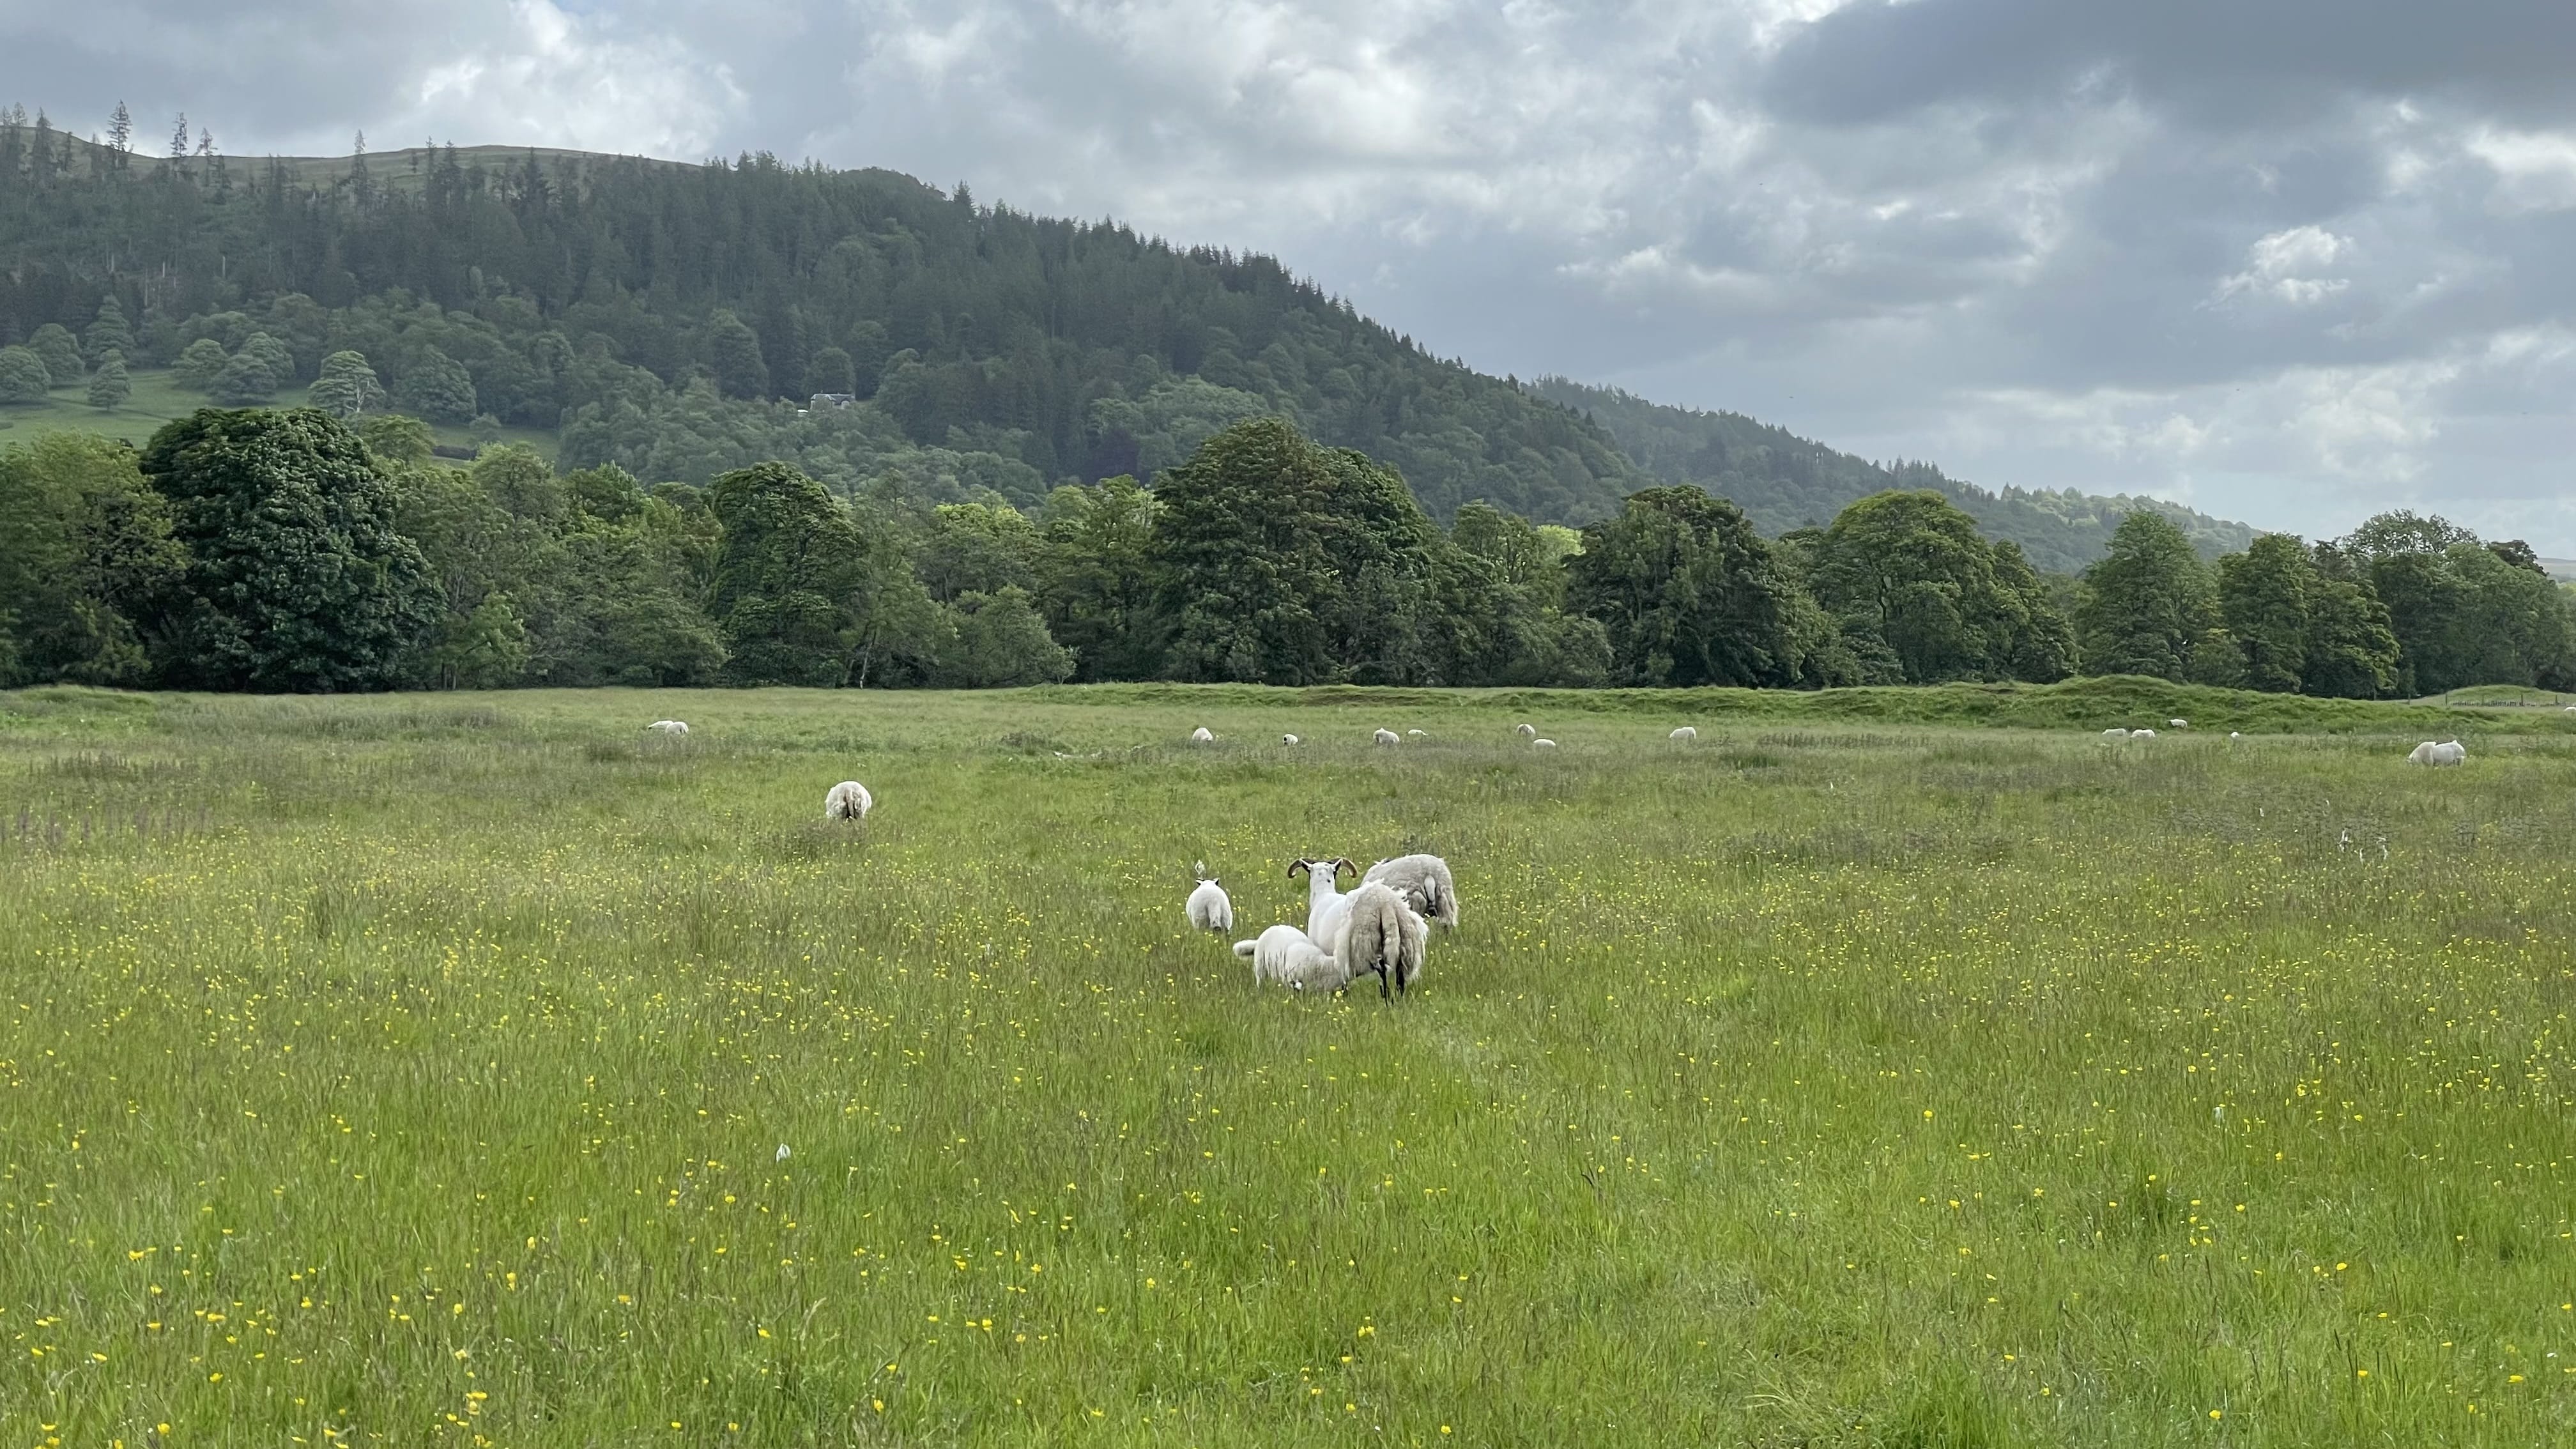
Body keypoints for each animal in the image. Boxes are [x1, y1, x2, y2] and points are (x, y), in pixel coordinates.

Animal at [1334, 881, 1429, 999]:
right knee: (1399, 975)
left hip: (1369, 943)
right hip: (1406, 944)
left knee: (1382, 972)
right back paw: (1398, 998)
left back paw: (1386, 997)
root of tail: (1386, 904)